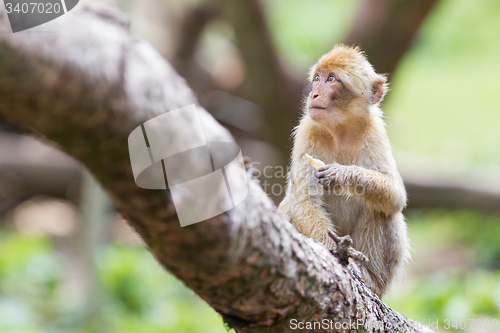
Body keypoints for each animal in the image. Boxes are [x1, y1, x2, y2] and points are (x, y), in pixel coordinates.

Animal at [278, 44, 410, 298]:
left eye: (331, 79)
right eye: (317, 78)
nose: (314, 94)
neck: (339, 130)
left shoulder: (375, 132)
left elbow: (396, 195)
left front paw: (341, 175)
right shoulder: (307, 131)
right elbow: (305, 202)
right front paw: (335, 256)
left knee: (381, 209)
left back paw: (369, 277)